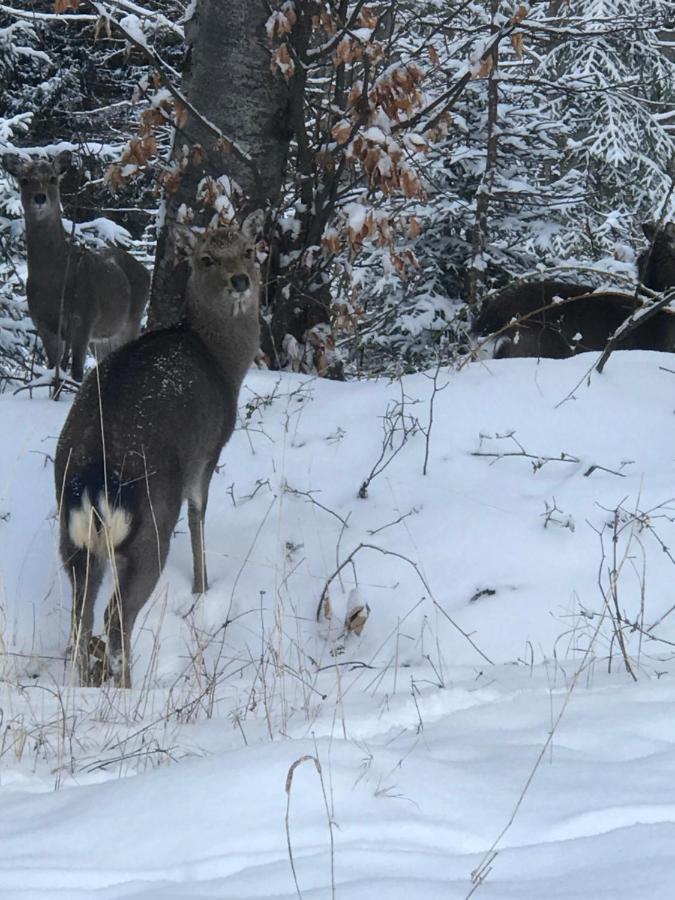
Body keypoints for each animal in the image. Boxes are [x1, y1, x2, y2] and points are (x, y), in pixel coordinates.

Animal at [1, 149, 149, 382]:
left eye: (52, 178)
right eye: (24, 180)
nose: (40, 197)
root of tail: (145, 271)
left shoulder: (84, 318)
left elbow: (76, 372)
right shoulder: (42, 324)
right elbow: (53, 369)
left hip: (132, 319)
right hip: (103, 337)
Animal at [53, 213, 264, 688]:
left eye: (248, 250)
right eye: (206, 258)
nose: (240, 281)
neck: (225, 365)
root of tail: (95, 481)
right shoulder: (210, 450)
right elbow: (199, 513)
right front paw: (203, 588)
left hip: (72, 540)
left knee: (80, 616)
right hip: (150, 528)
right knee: (116, 616)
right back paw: (129, 689)